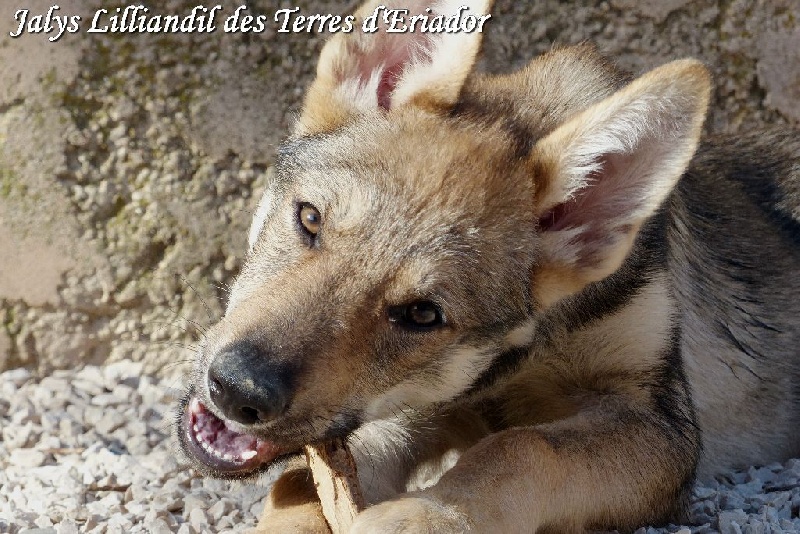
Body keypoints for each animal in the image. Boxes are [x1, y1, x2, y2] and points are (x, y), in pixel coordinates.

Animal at [176, 0, 800, 531]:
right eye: (309, 219)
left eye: (422, 315)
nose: (237, 389)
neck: (525, 355)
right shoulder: (408, 411)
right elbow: (298, 486)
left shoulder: (659, 425)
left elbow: (523, 447)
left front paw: (427, 517)